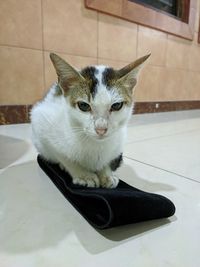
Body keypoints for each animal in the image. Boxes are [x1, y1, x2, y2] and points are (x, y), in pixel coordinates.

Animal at [30, 52, 150, 188]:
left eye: (116, 105)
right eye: (83, 105)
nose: (101, 129)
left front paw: (106, 173)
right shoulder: (41, 122)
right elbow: (63, 155)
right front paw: (83, 174)